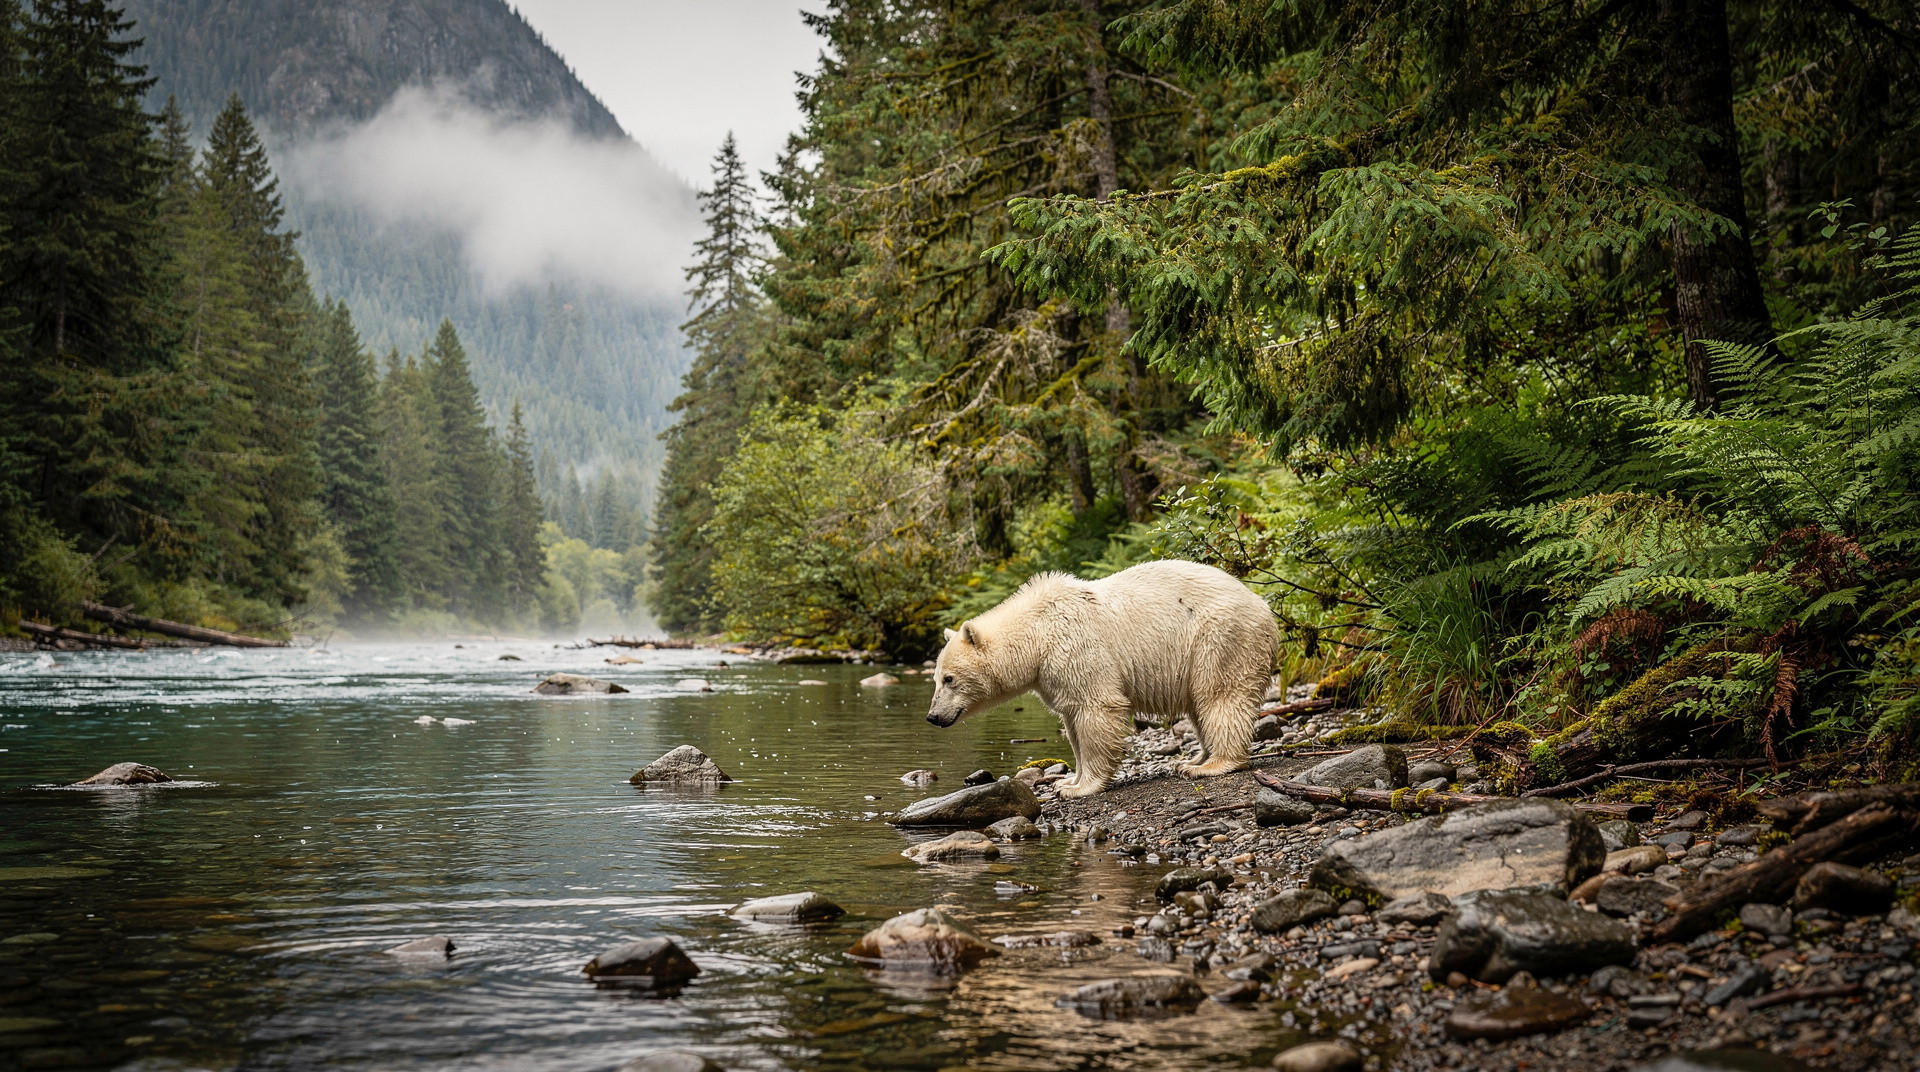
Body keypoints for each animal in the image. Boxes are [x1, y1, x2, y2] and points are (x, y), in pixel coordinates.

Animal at [925, 559, 1279, 797]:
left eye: (949, 679)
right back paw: (1194, 758)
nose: (932, 716)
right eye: (936, 679)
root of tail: (1265, 608)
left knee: (1221, 695)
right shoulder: (1053, 675)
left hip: (1219, 638)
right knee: (1198, 704)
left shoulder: (1076, 648)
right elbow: (1072, 723)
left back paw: (1212, 764)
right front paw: (1068, 780)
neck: (1037, 633)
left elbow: (1097, 710)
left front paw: (1081, 788)